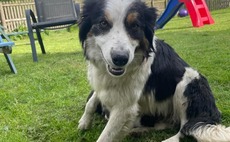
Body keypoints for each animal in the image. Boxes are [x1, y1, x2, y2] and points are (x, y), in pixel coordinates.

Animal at [77, 0, 230, 141]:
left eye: (135, 25)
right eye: (103, 23)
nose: (120, 59)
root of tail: (210, 113)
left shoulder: (125, 107)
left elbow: (105, 136)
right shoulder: (102, 83)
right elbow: (91, 101)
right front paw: (84, 121)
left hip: (188, 82)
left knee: (183, 129)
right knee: (167, 124)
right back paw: (138, 130)